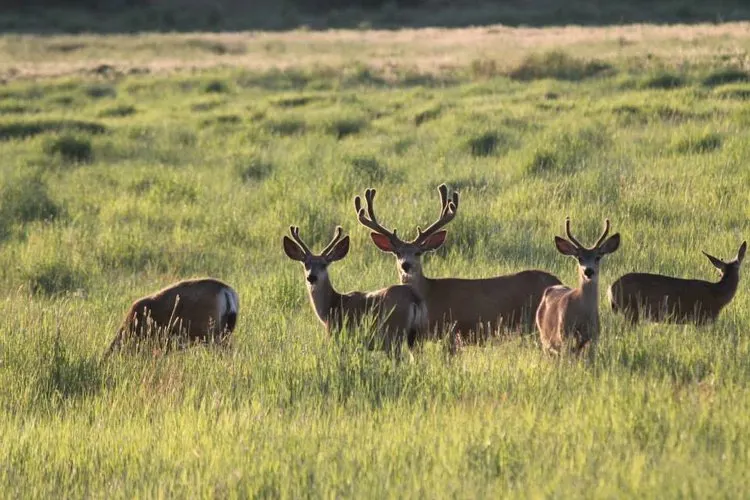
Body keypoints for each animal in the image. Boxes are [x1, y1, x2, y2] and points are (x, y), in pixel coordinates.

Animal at [282, 225, 427, 356]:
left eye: (324, 265)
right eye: (306, 264)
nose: (311, 277)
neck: (331, 306)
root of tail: (413, 299)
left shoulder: (338, 336)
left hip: (394, 334)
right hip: (415, 336)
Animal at [354, 184, 562, 344]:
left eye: (418, 252)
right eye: (397, 253)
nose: (406, 265)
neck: (428, 296)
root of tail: (557, 281)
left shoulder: (450, 331)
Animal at [536, 217, 620, 357]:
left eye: (598, 257)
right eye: (579, 258)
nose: (588, 271)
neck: (583, 313)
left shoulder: (594, 336)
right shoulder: (564, 334)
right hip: (544, 337)